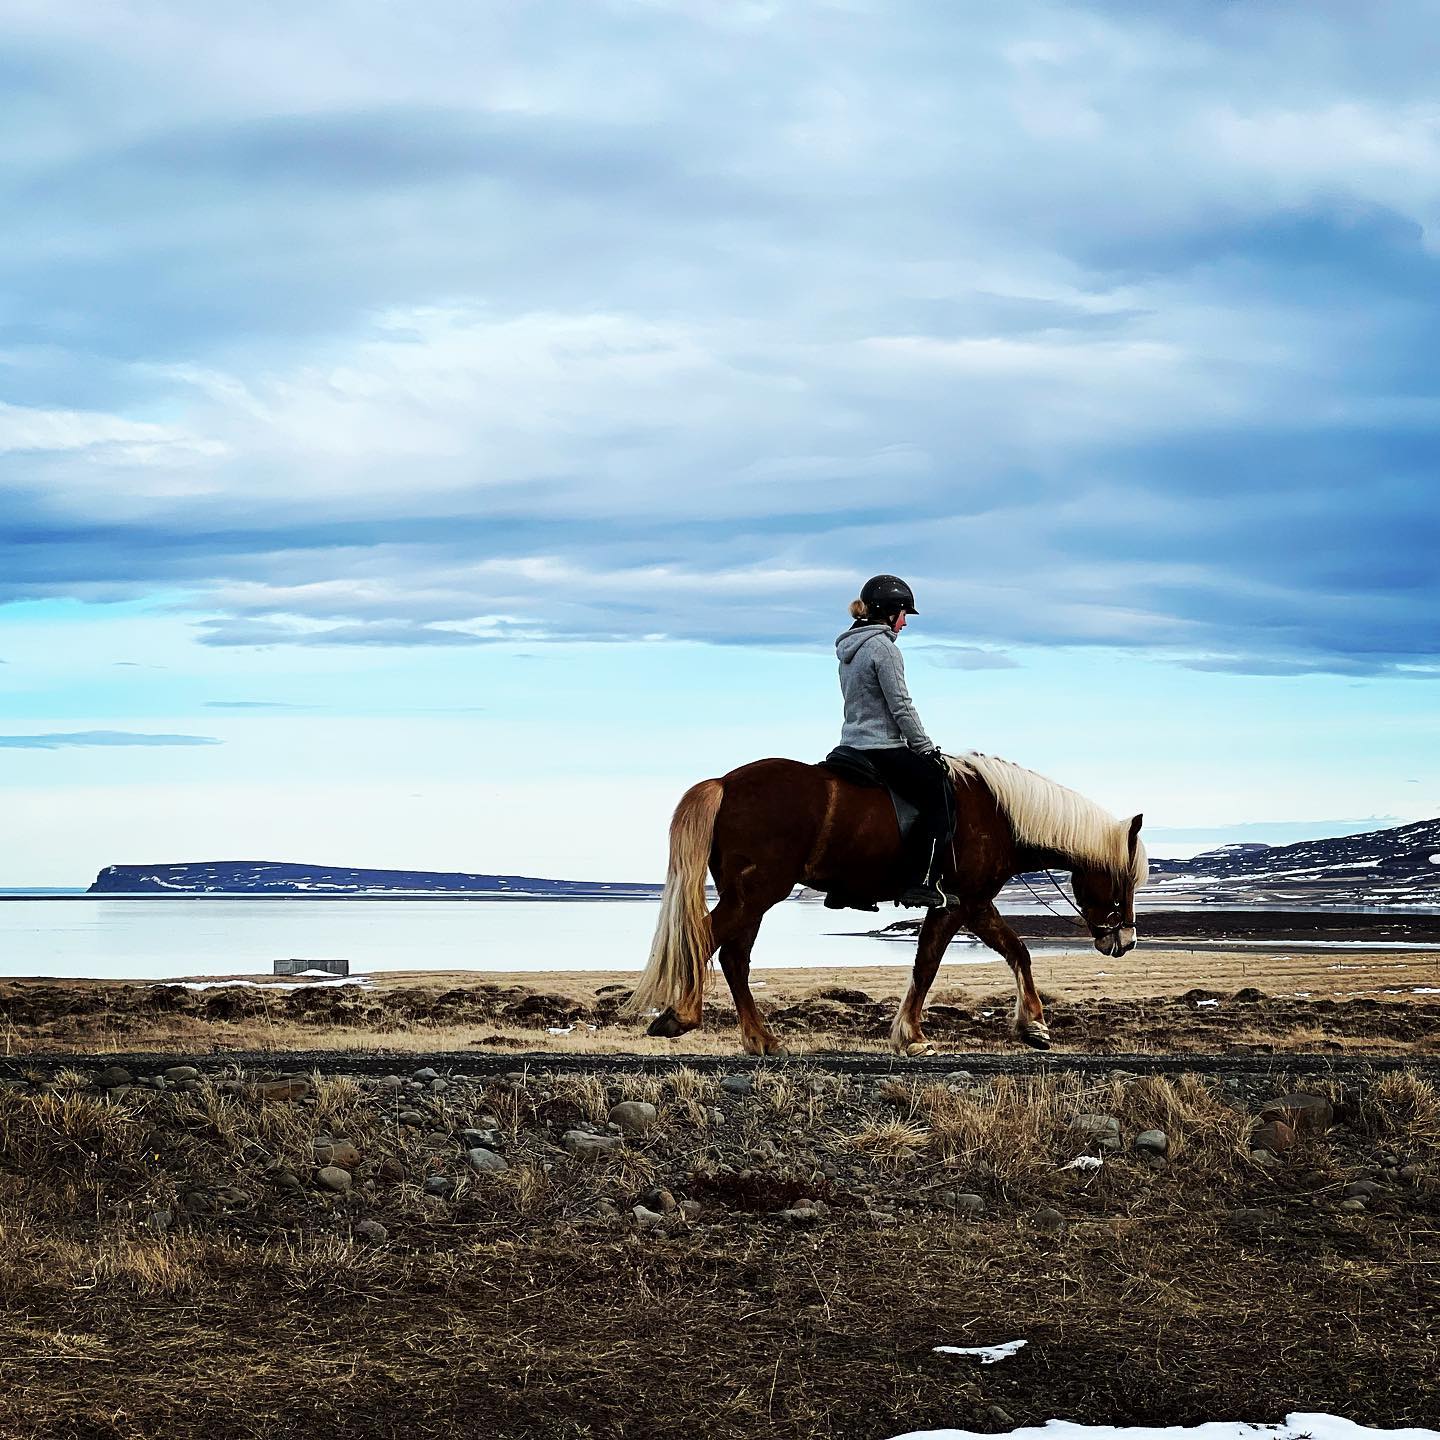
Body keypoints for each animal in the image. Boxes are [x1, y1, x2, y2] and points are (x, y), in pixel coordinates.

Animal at [627, 751, 1147, 1055]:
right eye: (1126, 881)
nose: (1125, 940)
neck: (998, 813)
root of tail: (724, 783)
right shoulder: (958, 905)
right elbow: (928, 965)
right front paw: (911, 1036)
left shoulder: (976, 905)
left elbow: (1016, 951)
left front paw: (1033, 1025)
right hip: (755, 895)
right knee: (707, 942)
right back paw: (682, 1017)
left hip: (749, 898)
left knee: (734, 957)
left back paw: (761, 1040)